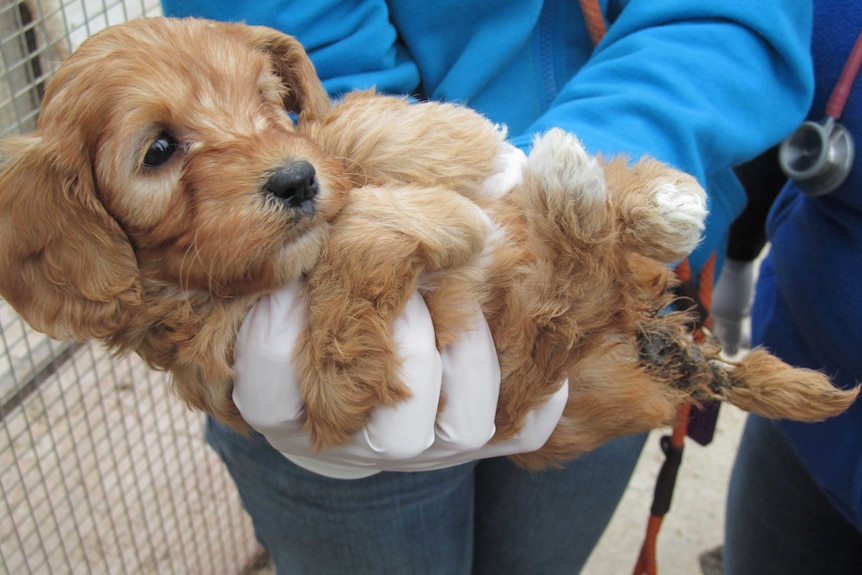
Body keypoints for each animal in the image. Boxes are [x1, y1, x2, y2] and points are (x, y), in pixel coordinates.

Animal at [1, 18, 856, 470]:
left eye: (271, 107)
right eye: (157, 150)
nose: (296, 181)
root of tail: (649, 341)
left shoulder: (329, 150)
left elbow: (350, 128)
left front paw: (449, 140)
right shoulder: (306, 365)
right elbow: (351, 254)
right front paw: (436, 213)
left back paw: (651, 196)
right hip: (532, 358)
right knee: (572, 279)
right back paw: (583, 194)